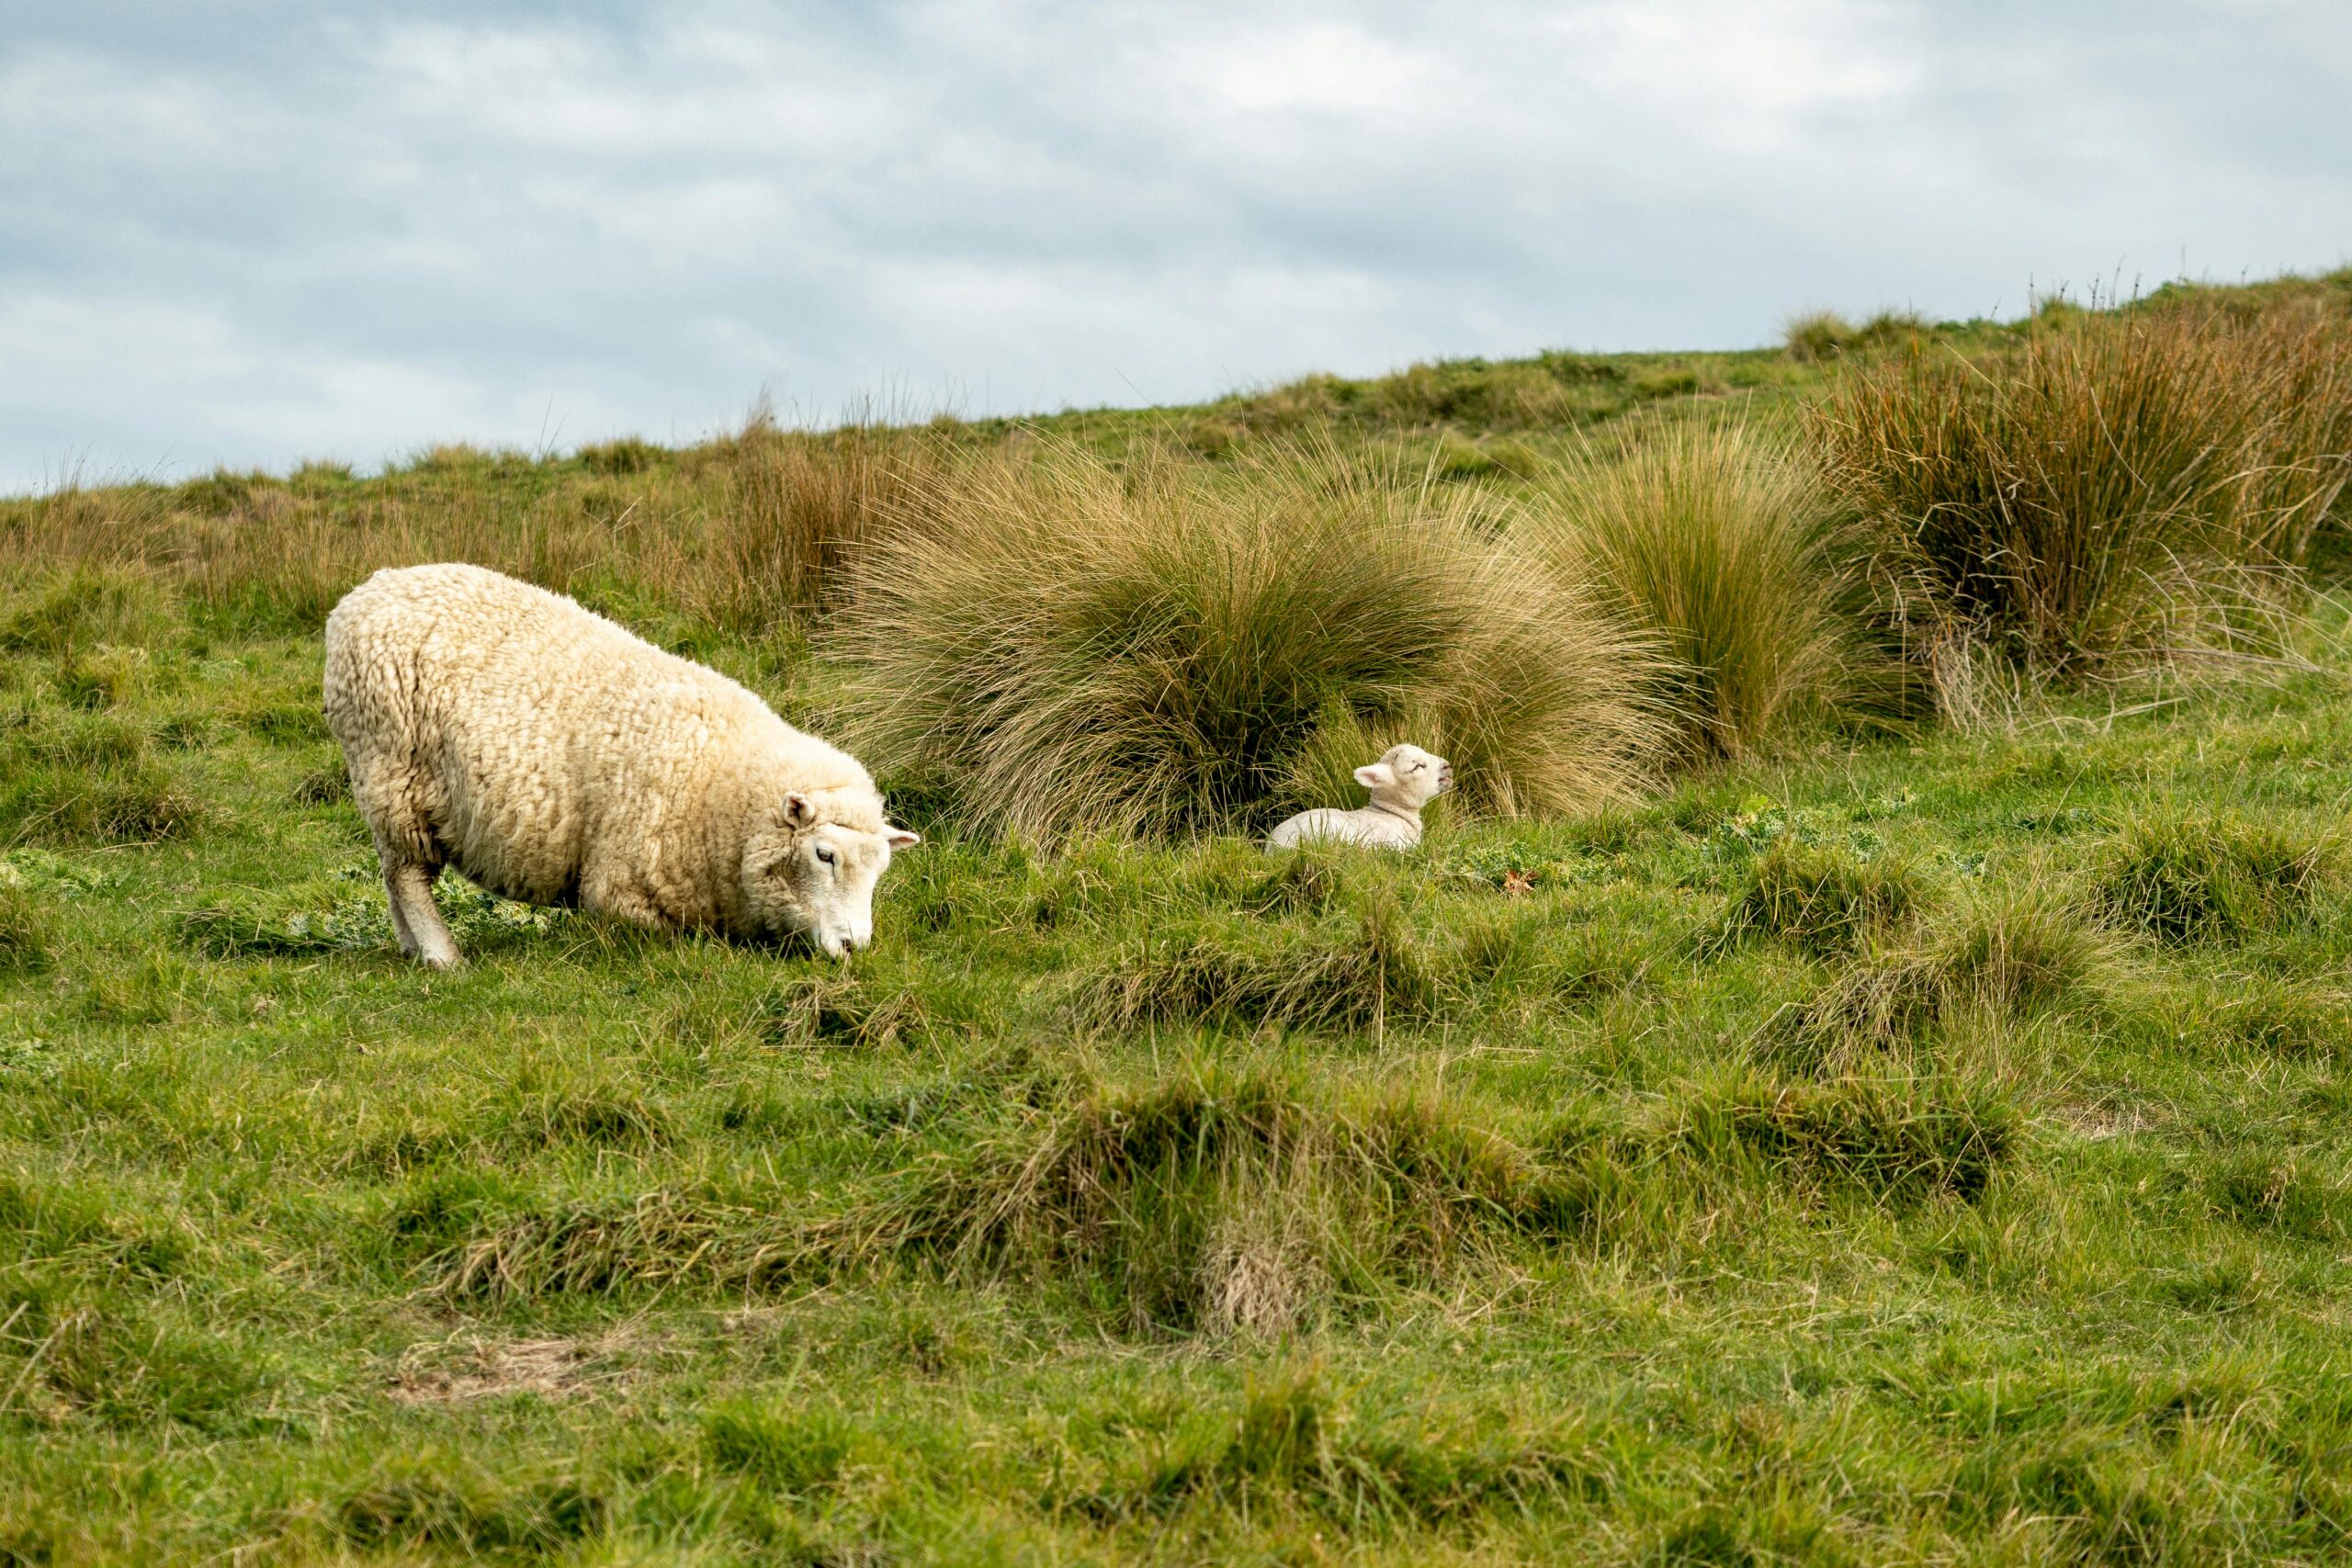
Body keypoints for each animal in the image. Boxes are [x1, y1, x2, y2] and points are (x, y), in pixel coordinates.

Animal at [322, 563, 917, 967]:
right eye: (824, 855)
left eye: (880, 870)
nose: (854, 946)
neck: (718, 791)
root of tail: (362, 594)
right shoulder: (622, 890)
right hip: (394, 775)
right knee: (408, 878)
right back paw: (443, 956)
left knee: (392, 875)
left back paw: (412, 949)